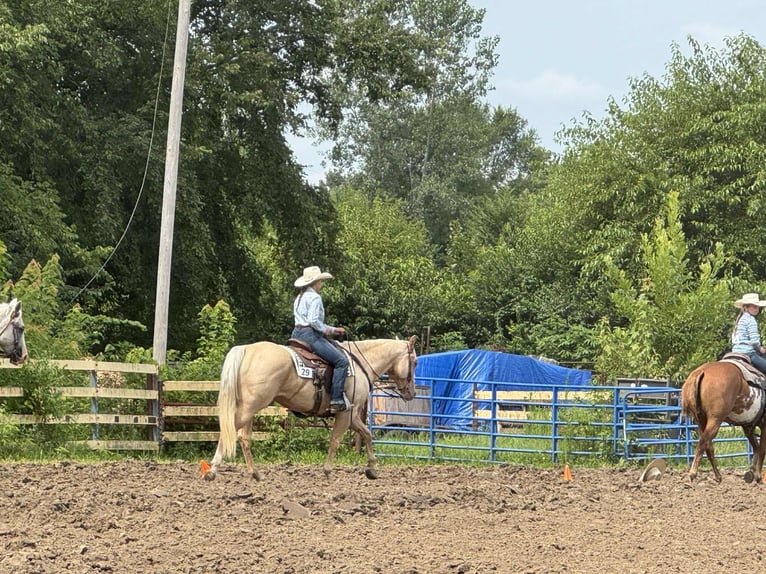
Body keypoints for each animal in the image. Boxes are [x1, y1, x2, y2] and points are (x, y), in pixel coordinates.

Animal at [204, 336, 417, 481]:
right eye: (414, 362)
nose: (412, 393)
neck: (360, 362)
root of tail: (246, 349)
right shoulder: (345, 413)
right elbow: (335, 441)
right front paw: (328, 470)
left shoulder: (352, 416)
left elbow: (367, 434)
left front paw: (372, 468)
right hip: (250, 407)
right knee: (229, 431)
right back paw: (212, 470)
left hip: (249, 408)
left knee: (243, 438)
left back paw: (255, 473)